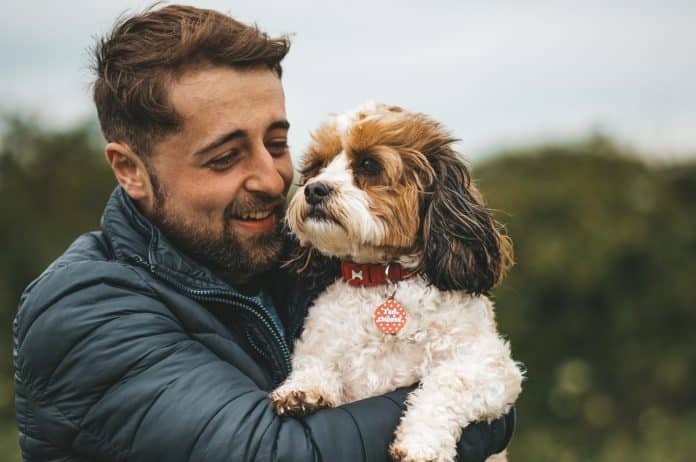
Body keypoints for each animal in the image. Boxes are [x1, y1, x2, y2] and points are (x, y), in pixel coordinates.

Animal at [270, 103, 520, 460]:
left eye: (368, 165)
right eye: (318, 166)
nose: (314, 189)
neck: (383, 279)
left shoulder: (492, 366)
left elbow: (447, 383)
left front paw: (421, 443)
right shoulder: (321, 346)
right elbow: (313, 364)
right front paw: (302, 389)